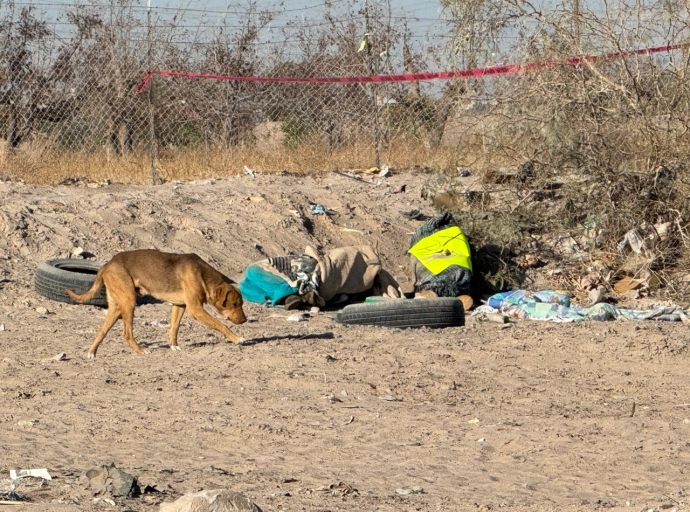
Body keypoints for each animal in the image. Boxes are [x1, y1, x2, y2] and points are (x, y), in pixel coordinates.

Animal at [67, 250, 245, 358]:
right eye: (235, 303)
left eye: (241, 304)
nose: (244, 320)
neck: (203, 274)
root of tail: (107, 264)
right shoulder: (195, 309)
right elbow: (221, 325)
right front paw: (237, 338)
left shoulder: (179, 306)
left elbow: (174, 328)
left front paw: (174, 346)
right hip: (129, 302)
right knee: (126, 333)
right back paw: (140, 350)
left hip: (117, 306)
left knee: (102, 330)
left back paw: (92, 353)